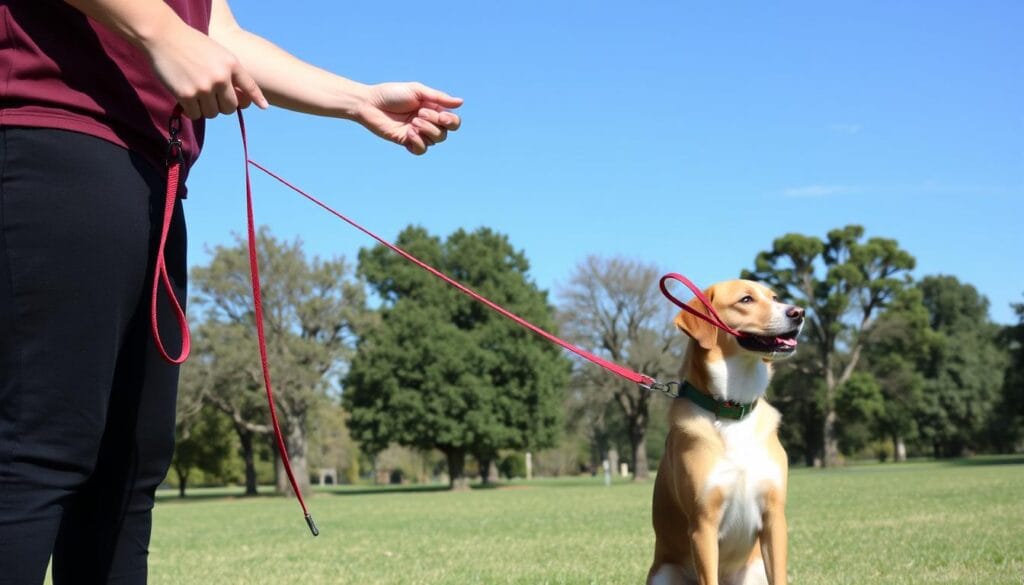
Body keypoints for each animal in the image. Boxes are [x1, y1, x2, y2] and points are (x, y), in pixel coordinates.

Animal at [651, 278, 802, 585]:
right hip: (664, 572)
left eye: (774, 297)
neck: (733, 409)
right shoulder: (703, 524)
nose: (800, 313)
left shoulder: (774, 517)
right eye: (746, 300)